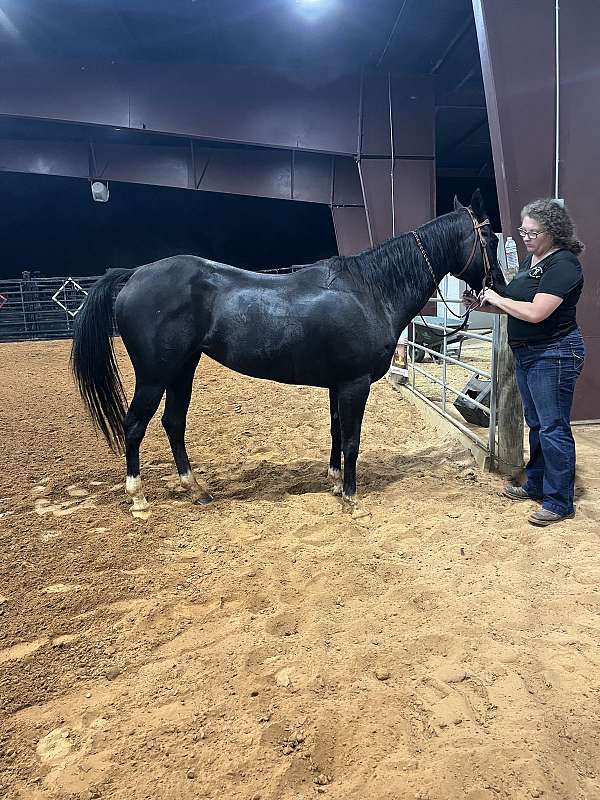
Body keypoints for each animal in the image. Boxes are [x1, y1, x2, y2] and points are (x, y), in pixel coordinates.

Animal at [70, 191, 504, 512]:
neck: (370, 291)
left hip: (182, 370)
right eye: (491, 240)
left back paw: (197, 490)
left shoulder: (338, 384)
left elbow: (336, 431)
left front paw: (334, 483)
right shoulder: (355, 383)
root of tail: (134, 275)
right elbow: (352, 439)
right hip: (155, 375)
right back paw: (139, 498)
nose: (495, 285)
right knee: (134, 425)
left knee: (173, 423)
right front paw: (352, 499)